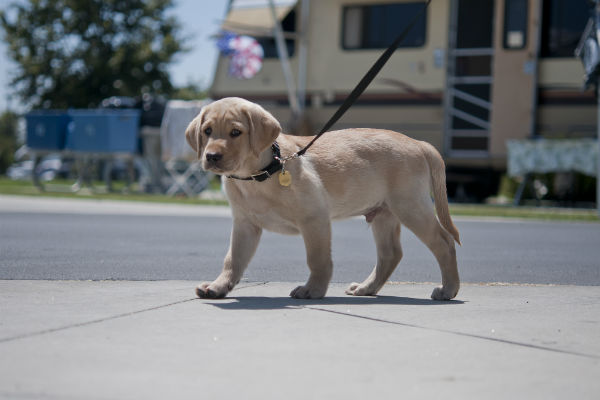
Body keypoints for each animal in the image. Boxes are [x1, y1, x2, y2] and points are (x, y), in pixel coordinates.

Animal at [185, 97, 462, 298]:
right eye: (207, 131)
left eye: (235, 132)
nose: (211, 156)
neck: (258, 175)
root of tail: (418, 143)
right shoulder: (245, 224)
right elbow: (233, 259)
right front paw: (218, 286)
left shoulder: (314, 218)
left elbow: (317, 259)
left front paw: (313, 290)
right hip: (384, 213)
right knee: (391, 254)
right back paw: (366, 288)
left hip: (410, 206)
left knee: (444, 243)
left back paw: (448, 289)